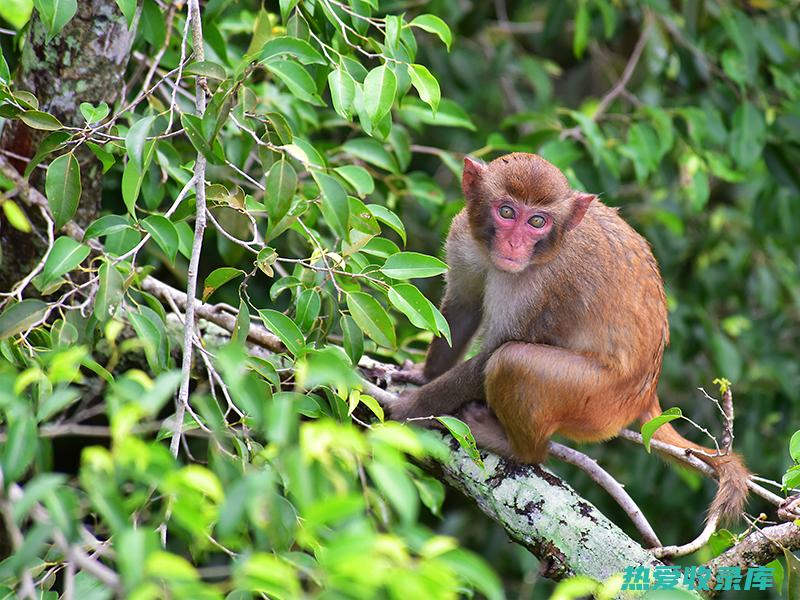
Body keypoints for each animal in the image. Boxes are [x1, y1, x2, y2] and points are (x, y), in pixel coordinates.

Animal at [388, 154, 752, 520]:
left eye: (537, 221)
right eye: (506, 212)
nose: (514, 244)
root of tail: (648, 393)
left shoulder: (546, 287)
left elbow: (491, 356)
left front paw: (408, 409)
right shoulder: (464, 238)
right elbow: (462, 308)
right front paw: (423, 375)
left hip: (597, 403)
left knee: (513, 361)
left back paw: (521, 449)